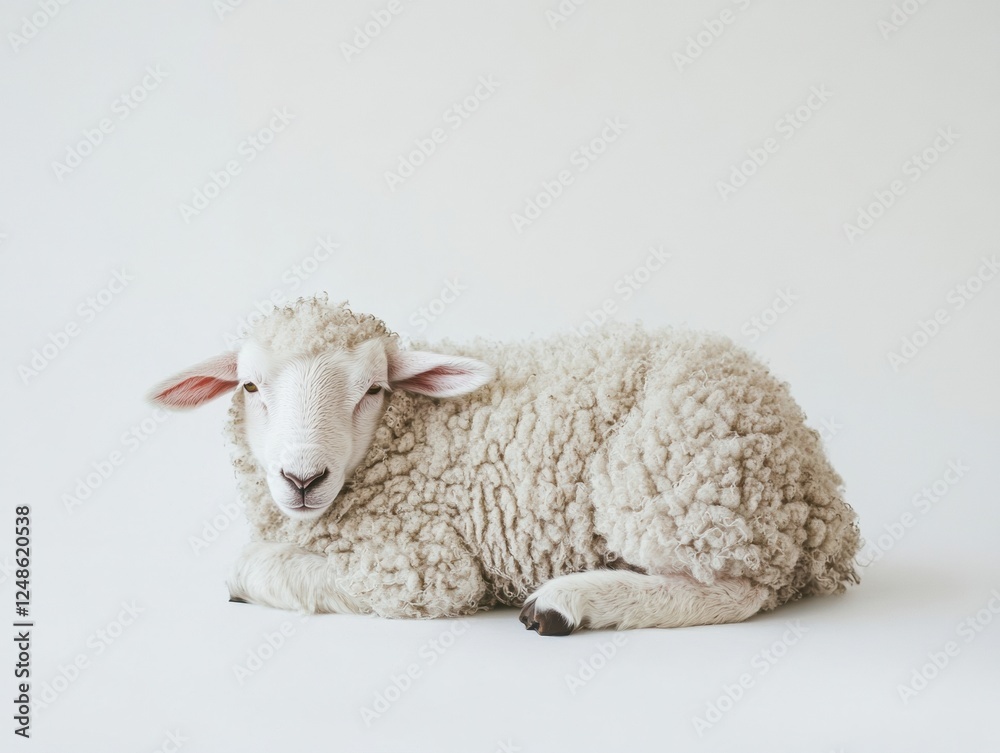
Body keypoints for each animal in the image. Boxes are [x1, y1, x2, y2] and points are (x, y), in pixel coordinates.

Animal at [148, 295, 861, 635]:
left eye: (372, 390)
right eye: (250, 387)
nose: (302, 479)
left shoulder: (421, 565)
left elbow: (248, 564)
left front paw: (245, 578)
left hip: (676, 484)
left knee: (738, 590)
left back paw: (568, 601)